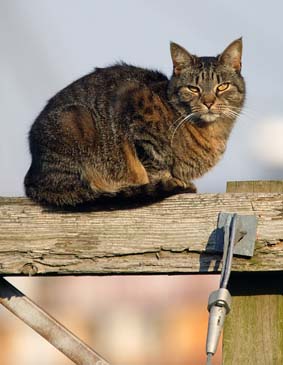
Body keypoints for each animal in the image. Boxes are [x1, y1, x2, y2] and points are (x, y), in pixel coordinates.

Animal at [25, 38, 246, 206]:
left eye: (222, 86)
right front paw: (168, 182)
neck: (211, 133)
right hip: (74, 121)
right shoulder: (135, 110)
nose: (208, 102)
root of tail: (32, 177)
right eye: (193, 88)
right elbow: (155, 165)